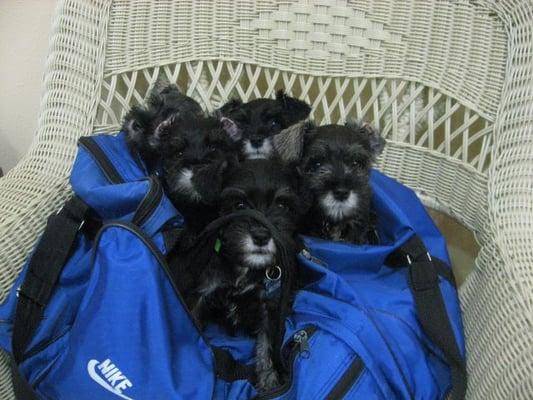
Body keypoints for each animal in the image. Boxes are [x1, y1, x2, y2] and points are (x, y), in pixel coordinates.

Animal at [182, 159, 308, 390]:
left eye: (283, 205)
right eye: (239, 204)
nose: (261, 235)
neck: (246, 268)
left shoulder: (271, 306)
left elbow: (267, 345)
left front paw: (269, 381)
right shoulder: (201, 294)